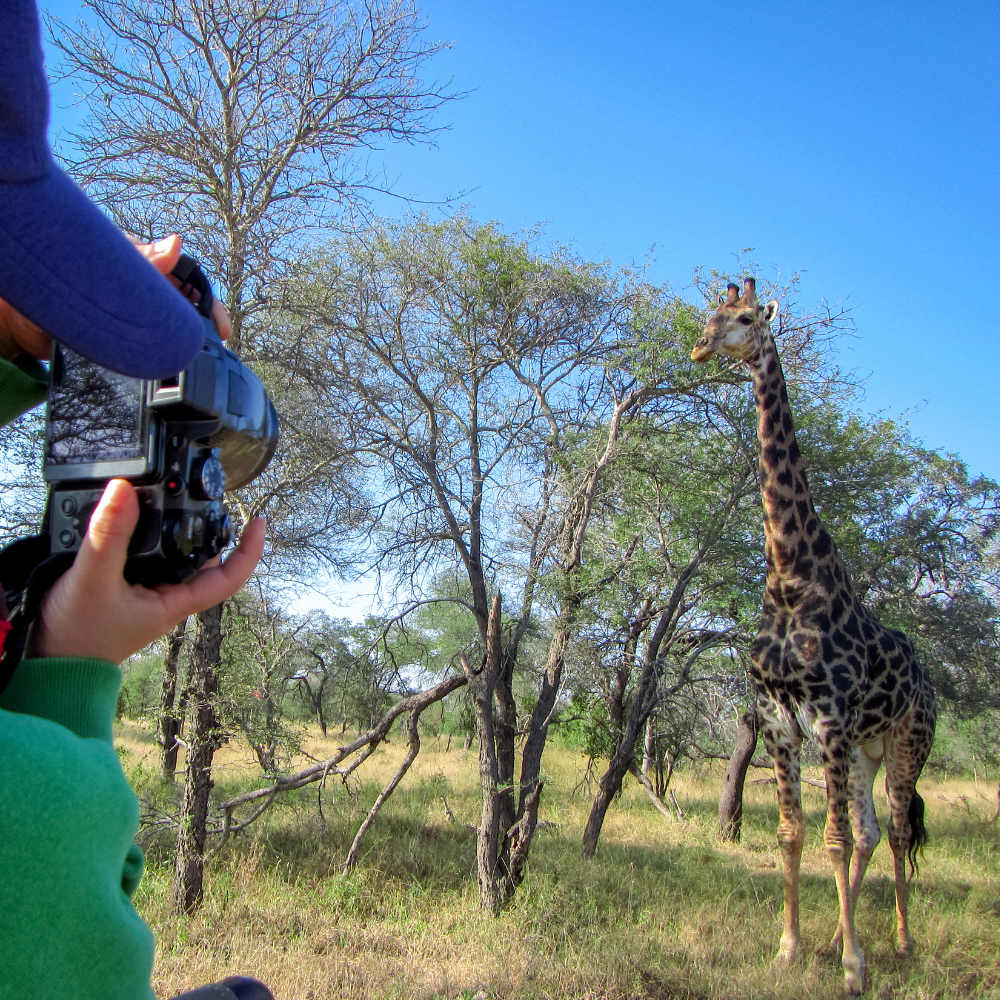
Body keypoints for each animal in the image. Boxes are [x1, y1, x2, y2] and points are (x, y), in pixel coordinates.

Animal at [691, 278, 936, 995]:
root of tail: (929, 678)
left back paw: (896, 944)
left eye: (748, 318)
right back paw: (835, 941)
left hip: (905, 743)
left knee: (897, 830)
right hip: (864, 749)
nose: (700, 347)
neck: (790, 575)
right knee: (871, 831)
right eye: (711, 315)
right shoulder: (778, 719)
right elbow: (793, 835)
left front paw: (855, 969)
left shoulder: (827, 717)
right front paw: (790, 947)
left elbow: (828, 838)